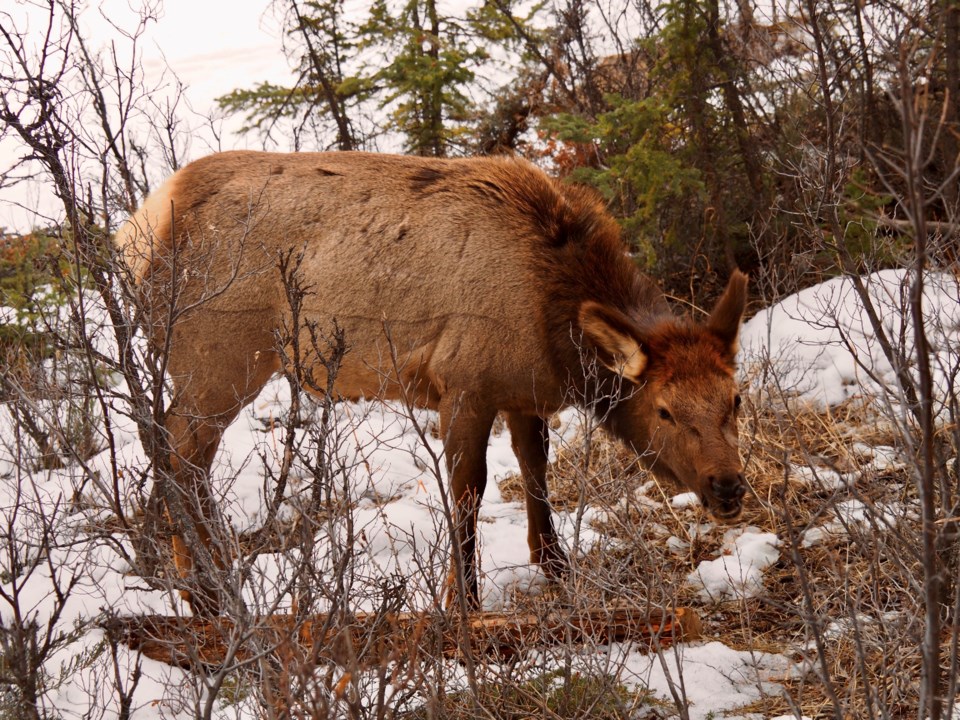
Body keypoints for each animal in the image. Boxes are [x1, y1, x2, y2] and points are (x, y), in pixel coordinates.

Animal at [118, 152, 752, 612]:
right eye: (665, 410)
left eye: (735, 399)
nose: (728, 486)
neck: (552, 318)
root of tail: (140, 230)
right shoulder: (463, 383)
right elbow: (468, 492)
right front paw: (461, 600)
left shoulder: (521, 391)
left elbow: (536, 471)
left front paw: (554, 567)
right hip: (219, 358)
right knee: (179, 456)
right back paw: (206, 593)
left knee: (175, 452)